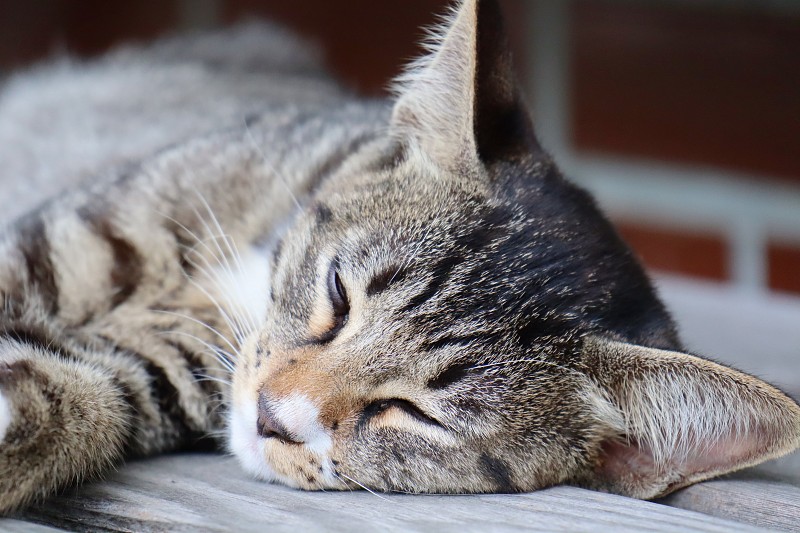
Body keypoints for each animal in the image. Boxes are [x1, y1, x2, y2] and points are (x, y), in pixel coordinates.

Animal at [1, 1, 800, 516]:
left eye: (413, 413)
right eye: (337, 291)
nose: (270, 415)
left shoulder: (156, 366)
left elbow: (76, 392)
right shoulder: (80, 235)